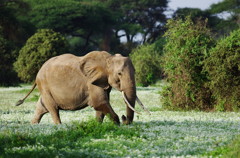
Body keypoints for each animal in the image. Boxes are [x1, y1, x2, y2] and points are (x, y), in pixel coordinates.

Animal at [15, 51, 148, 125]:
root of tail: (38, 73)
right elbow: (99, 102)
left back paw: (33, 125)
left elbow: (101, 105)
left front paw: (98, 125)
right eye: (119, 73)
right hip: (44, 85)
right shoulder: (91, 81)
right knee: (53, 109)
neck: (108, 59)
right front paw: (117, 124)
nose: (124, 118)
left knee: (41, 107)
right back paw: (59, 126)